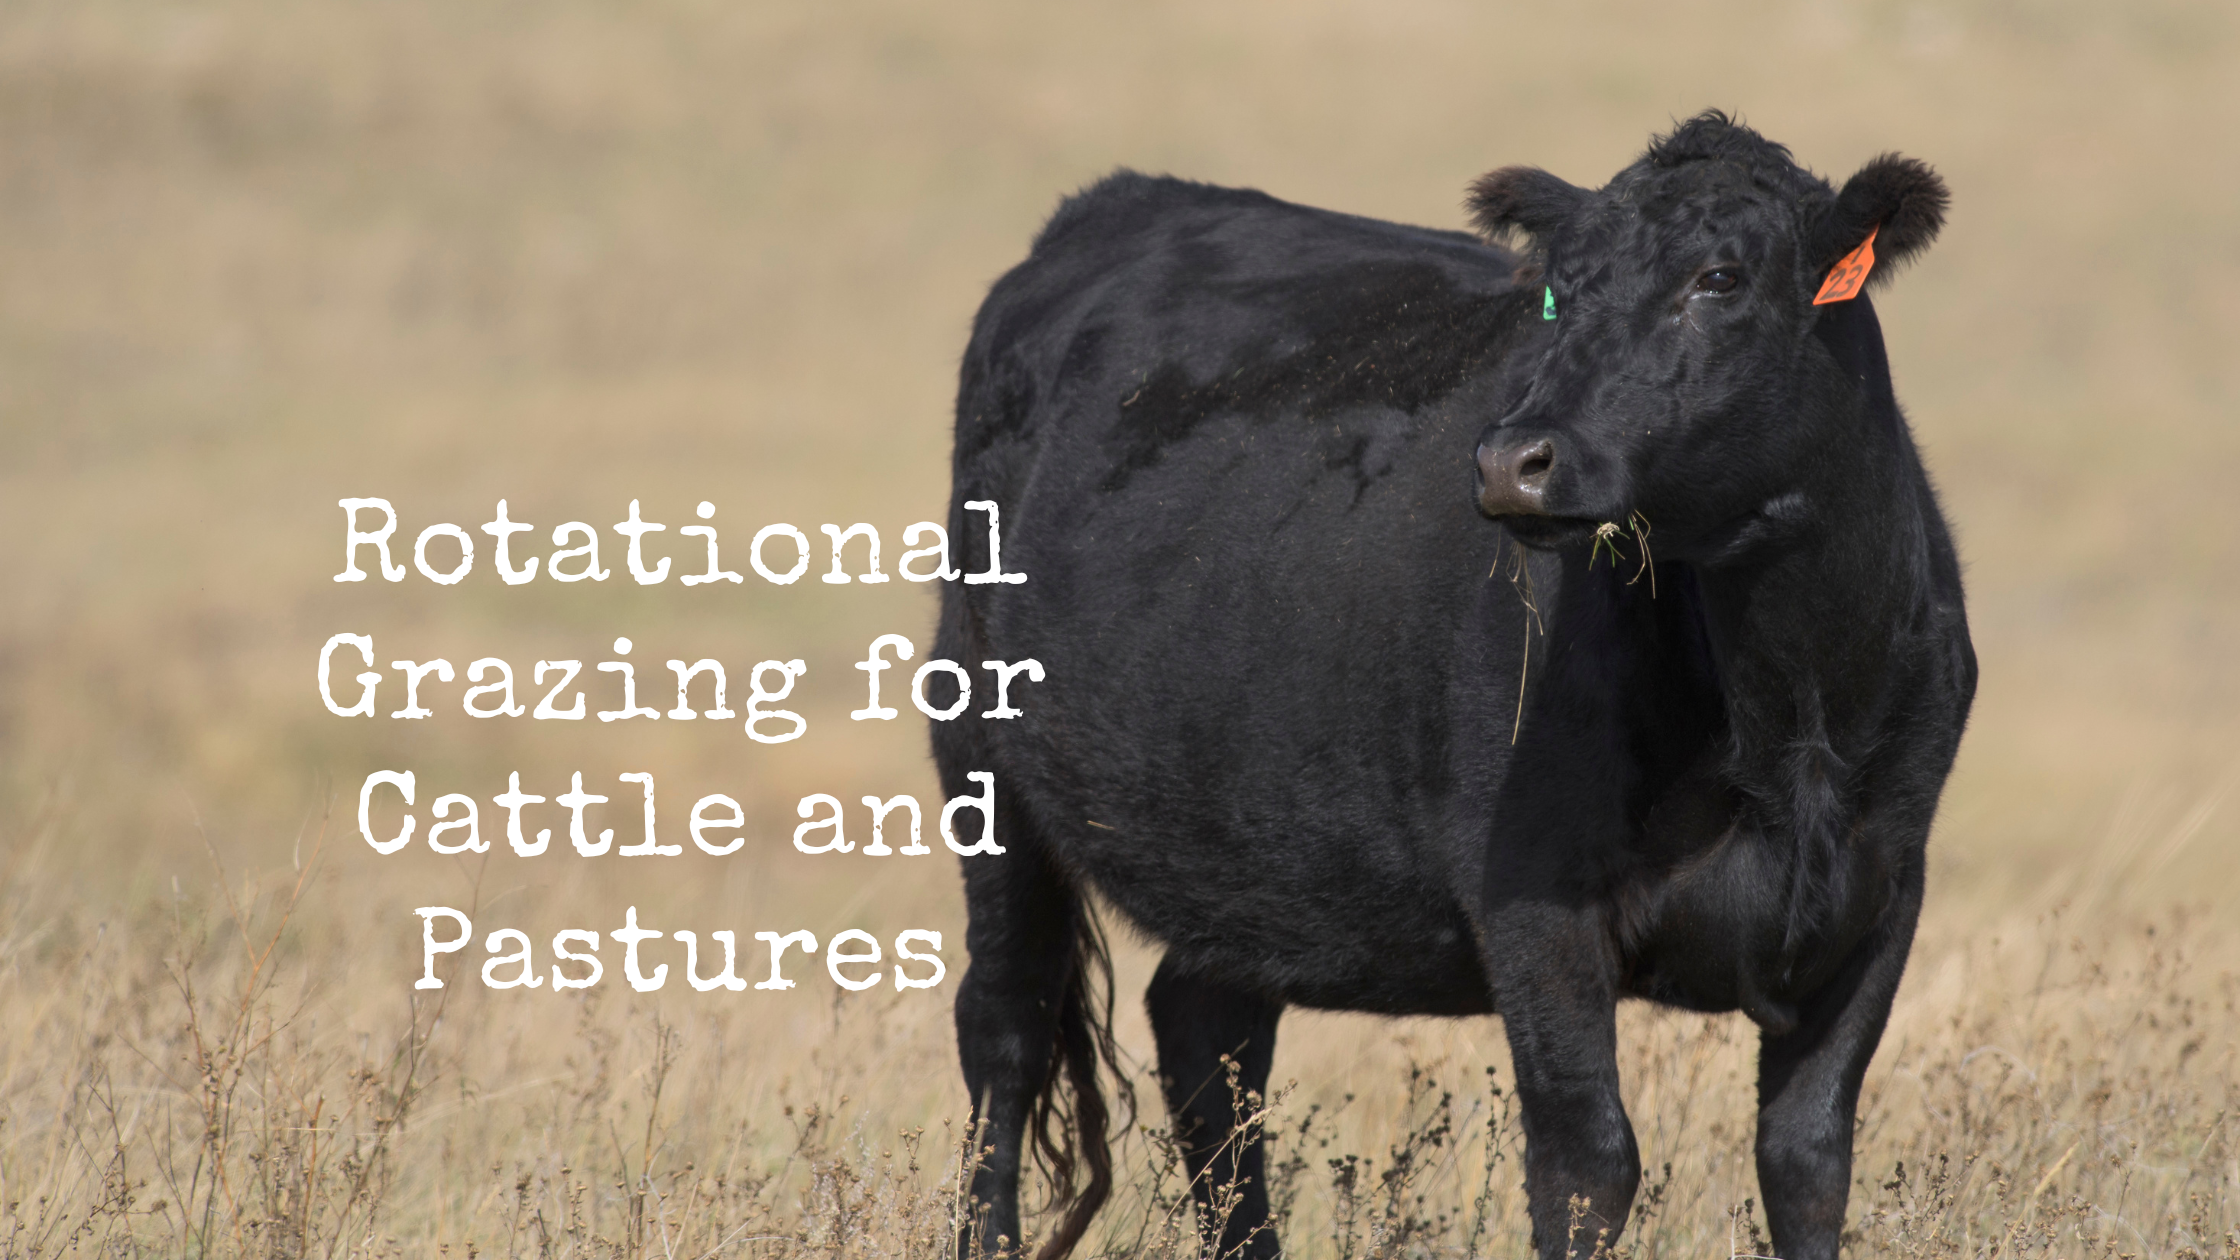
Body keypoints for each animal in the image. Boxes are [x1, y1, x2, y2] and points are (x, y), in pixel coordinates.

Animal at [932, 111, 1975, 1260]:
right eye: (1558, 292)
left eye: (1720, 277)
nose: (1512, 458)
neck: (1788, 723)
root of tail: (1119, 199)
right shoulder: (1531, 896)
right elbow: (1586, 1163)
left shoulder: (1882, 891)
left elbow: (1805, 1159)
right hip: (980, 752)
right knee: (1007, 1024)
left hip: (1240, 829)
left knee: (1208, 1032)